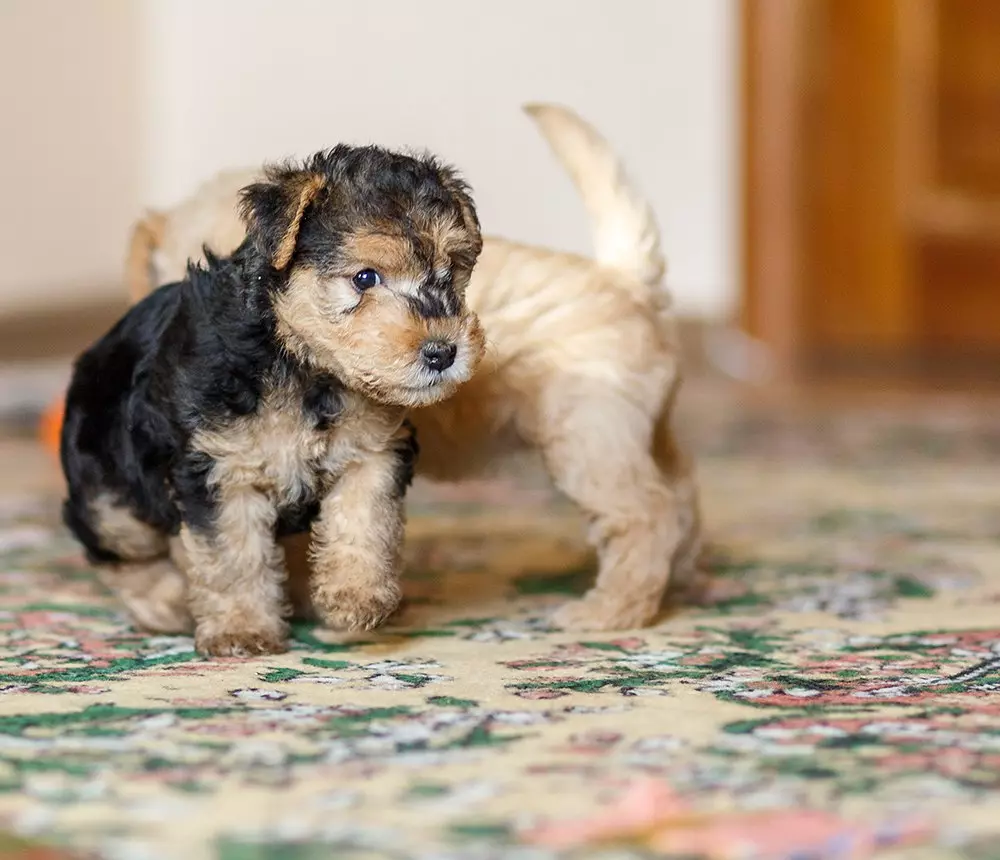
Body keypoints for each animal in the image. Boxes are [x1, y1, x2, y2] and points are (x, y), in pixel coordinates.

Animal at [60, 148, 486, 660]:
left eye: (451, 271)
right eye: (365, 277)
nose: (443, 352)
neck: (302, 363)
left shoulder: (373, 453)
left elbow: (365, 520)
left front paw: (355, 597)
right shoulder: (222, 470)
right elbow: (232, 556)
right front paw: (241, 630)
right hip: (109, 487)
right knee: (122, 548)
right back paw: (170, 604)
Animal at [127, 106, 704, 632]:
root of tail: (627, 280)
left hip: (589, 438)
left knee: (644, 518)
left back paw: (608, 612)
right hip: (640, 435)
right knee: (680, 503)